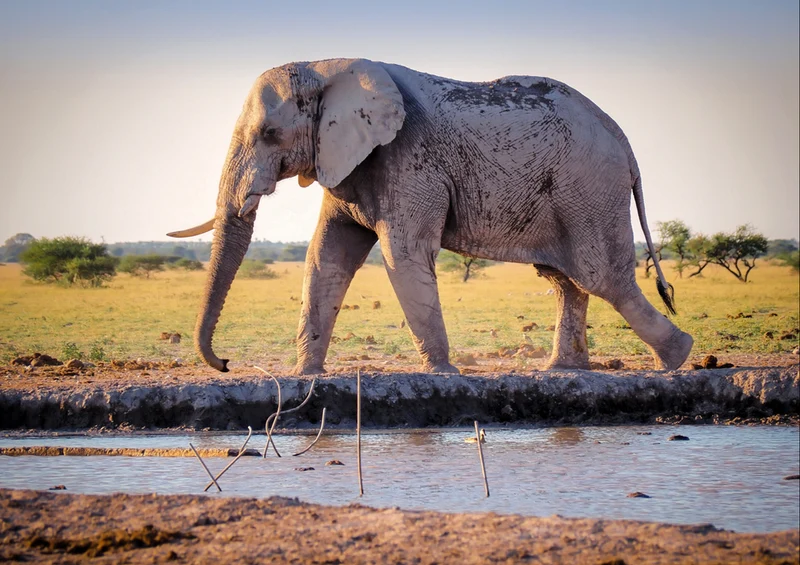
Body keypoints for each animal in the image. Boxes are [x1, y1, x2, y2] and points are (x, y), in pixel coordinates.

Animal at [168, 58, 693, 375]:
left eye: (270, 134)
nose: (226, 365)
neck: (326, 66)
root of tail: (621, 137)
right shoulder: (350, 161)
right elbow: (326, 257)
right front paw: (306, 376)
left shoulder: (408, 157)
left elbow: (403, 254)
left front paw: (443, 373)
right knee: (567, 279)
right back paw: (563, 371)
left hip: (588, 188)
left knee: (602, 276)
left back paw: (677, 358)